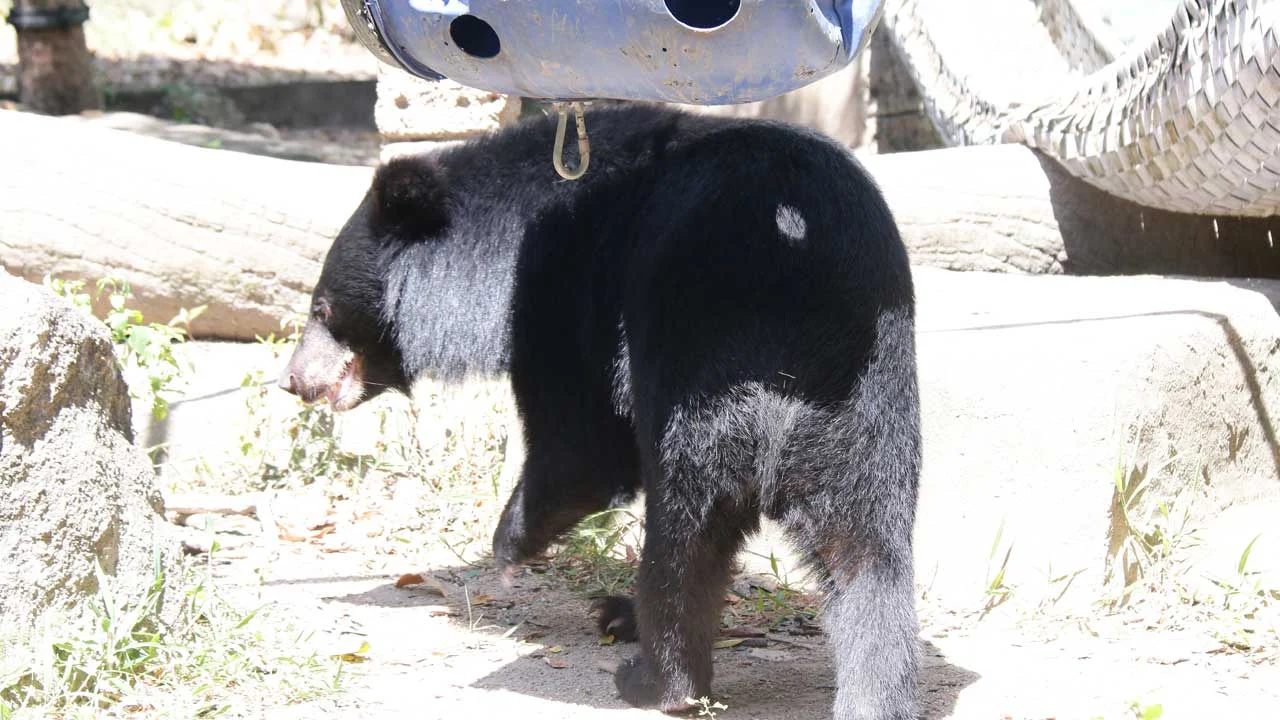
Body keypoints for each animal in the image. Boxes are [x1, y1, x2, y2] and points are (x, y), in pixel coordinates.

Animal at [278, 103, 921, 719]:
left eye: (323, 308)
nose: (293, 381)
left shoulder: (562, 293)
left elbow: (583, 446)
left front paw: (508, 547)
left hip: (704, 364)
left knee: (686, 530)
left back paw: (654, 679)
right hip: (865, 412)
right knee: (867, 556)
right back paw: (874, 700)